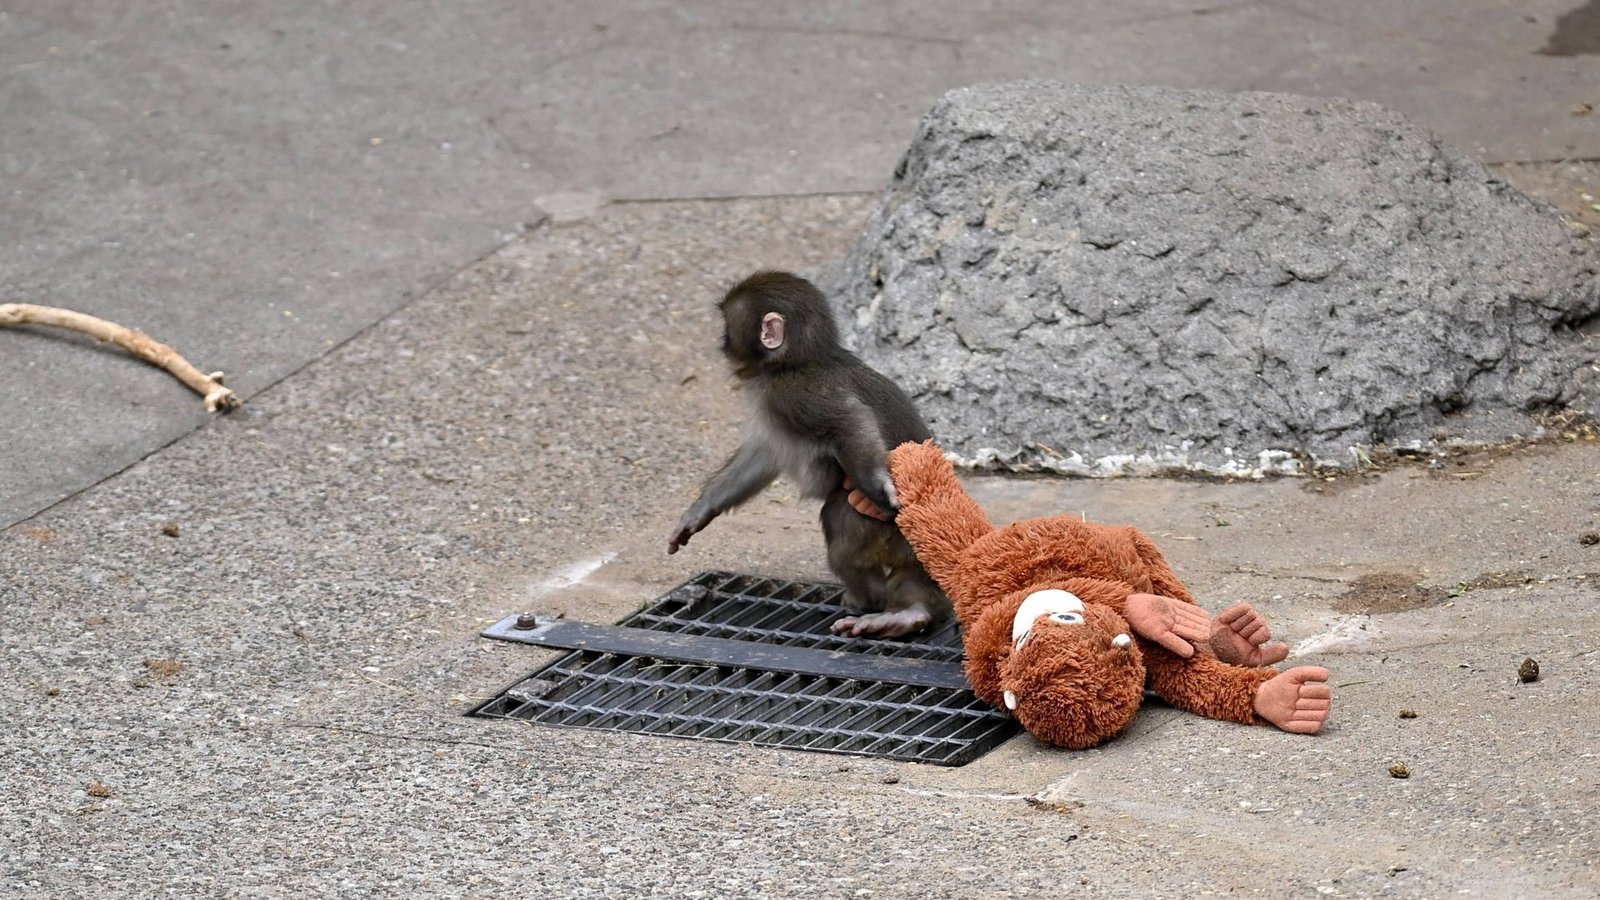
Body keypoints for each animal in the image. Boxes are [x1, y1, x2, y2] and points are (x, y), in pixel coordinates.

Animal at [667, 270, 952, 638]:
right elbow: (764, 454)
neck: (796, 361)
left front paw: (881, 484)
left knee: (839, 521)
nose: (722, 343)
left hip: (887, 531)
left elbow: (848, 420)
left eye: (728, 326)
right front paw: (701, 510)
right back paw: (910, 614)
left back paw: (870, 600)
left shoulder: (790, 394)